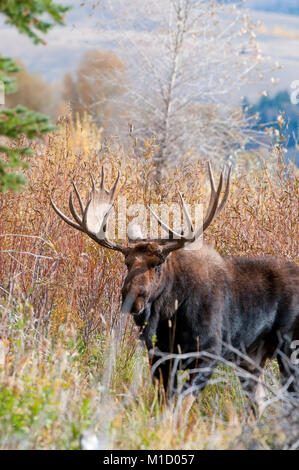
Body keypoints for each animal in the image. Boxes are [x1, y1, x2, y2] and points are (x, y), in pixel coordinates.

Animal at [50, 164, 298, 412]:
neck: (170, 316)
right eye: (127, 263)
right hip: (253, 358)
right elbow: (166, 403)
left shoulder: (208, 353)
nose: (133, 300)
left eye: (158, 263)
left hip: (288, 349)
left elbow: (182, 405)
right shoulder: (159, 356)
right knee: (258, 402)